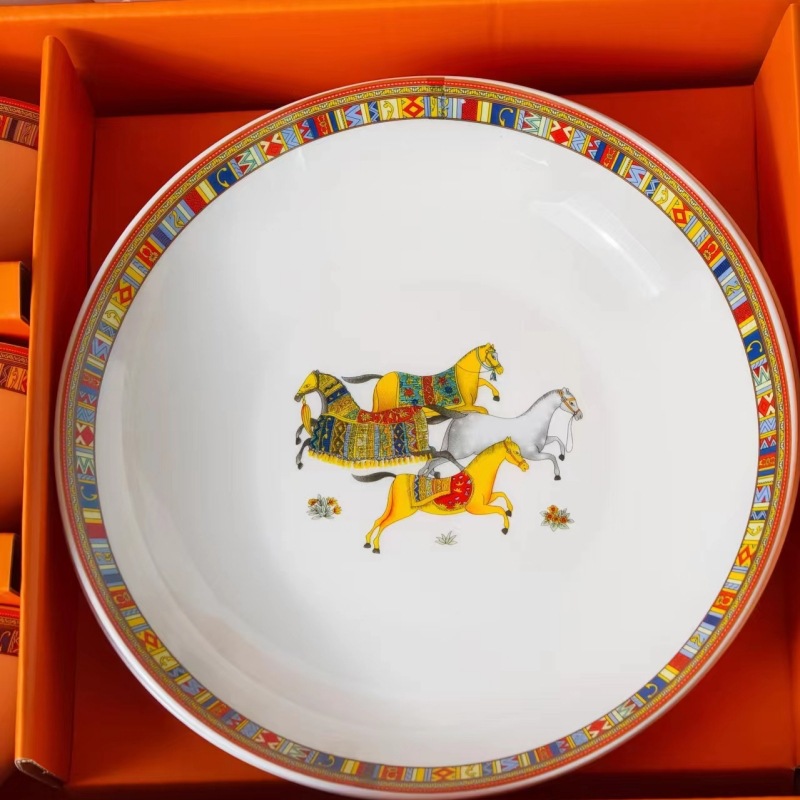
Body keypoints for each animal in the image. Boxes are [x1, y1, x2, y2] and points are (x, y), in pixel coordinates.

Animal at [293, 371, 463, 471]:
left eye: (307, 383)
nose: (296, 397)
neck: (342, 411)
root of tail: (420, 408)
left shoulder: (322, 442)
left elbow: (307, 441)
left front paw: (298, 462)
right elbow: (306, 428)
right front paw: (297, 440)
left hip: (422, 448)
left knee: (445, 454)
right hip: (425, 448)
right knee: (442, 453)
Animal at [343, 344, 504, 417]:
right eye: (493, 356)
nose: (501, 370)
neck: (463, 377)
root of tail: (381, 379)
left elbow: (485, 383)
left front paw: (496, 396)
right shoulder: (465, 406)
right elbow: (483, 410)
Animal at [354, 438, 529, 553]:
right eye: (515, 451)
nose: (526, 467)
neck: (478, 477)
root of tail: (396, 477)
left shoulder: (486, 500)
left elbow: (502, 495)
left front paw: (510, 510)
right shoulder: (477, 508)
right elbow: (499, 509)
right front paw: (505, 528)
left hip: (393, 506)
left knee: (378, 520)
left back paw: (367, 543)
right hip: (401, 511)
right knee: (383, 523)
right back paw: (376, 548)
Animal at [418, 388, 583, 480]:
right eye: (571, 402)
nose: (580, 416)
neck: (535, 424)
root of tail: (460, 417)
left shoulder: (543, 444)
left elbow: (557, 440)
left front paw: (563, 455)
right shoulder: (532, 454)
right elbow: (551, 456)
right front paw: (557, 475)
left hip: (452, 449)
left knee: (433, 460)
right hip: (459, 452)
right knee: (435, 461)